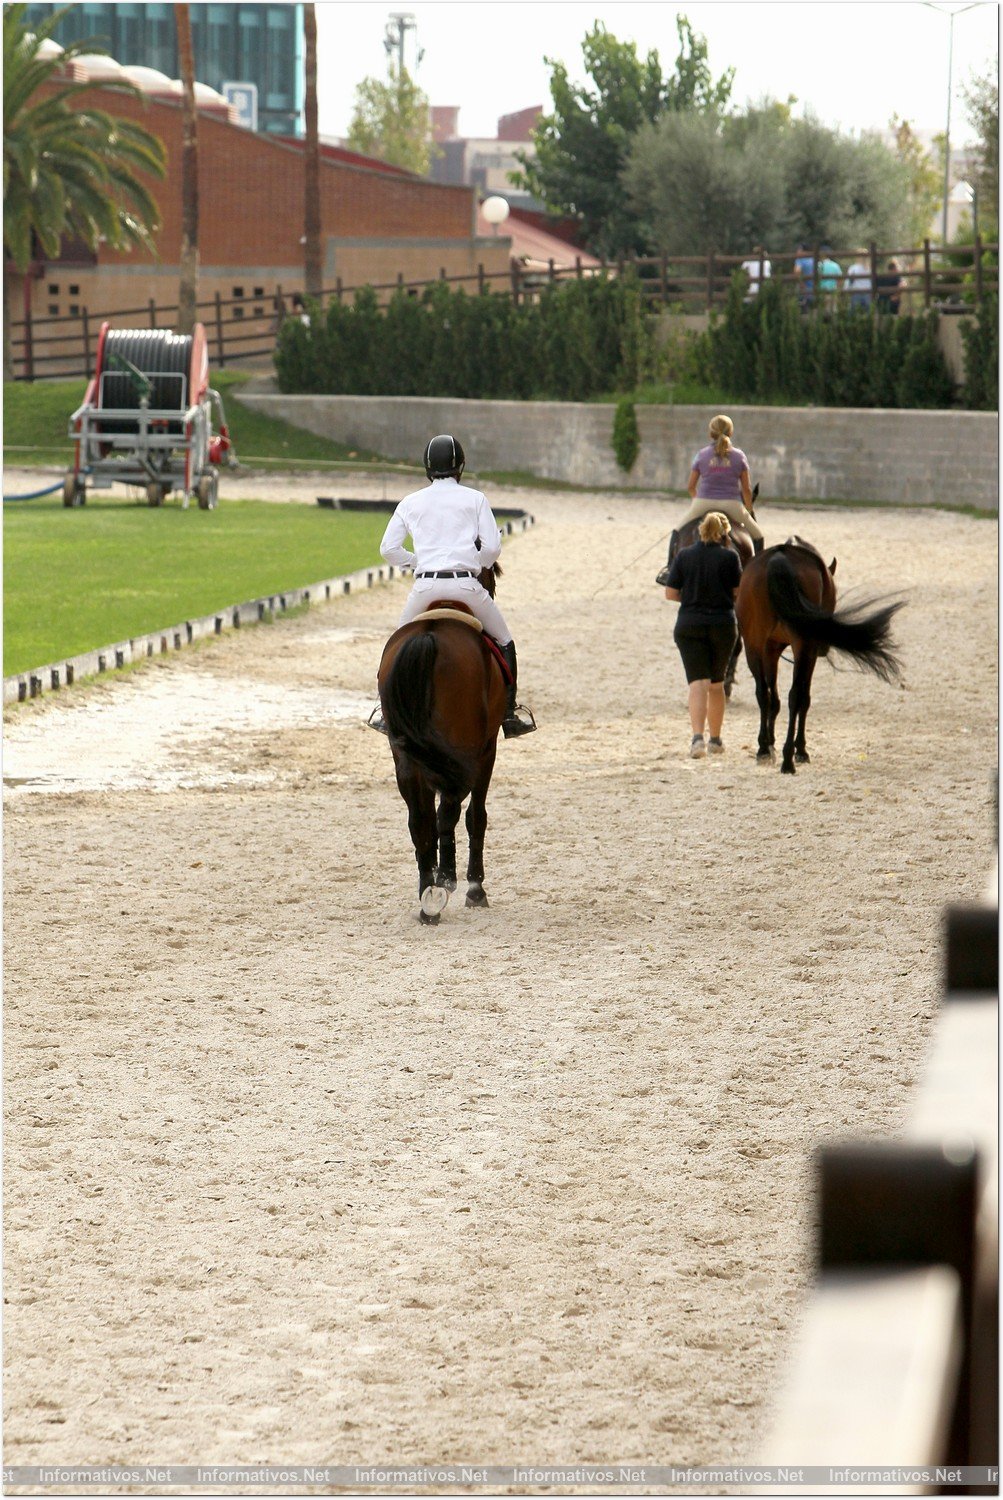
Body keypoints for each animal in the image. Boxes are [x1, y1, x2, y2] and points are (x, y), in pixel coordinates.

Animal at [377, 564, 509, 918]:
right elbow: (475, 817)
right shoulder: (487, 750)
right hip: (465, 751)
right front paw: (473, 888)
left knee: (420, 821)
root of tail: (429, 636)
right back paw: (446, 884)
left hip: (408, 756)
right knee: (448, 810)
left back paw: (429, 899)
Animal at [731, 537, 905, 774]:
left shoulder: (771, 649)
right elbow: (800, 698)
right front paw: (796, 749)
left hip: (757, 644)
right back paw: (788, 757)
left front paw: (770, 745)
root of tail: (780, 555)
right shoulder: (803, 650)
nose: (825, 649)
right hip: (801, 646)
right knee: (795, 696)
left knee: (768, 694)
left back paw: (769, 752)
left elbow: (774, 698)